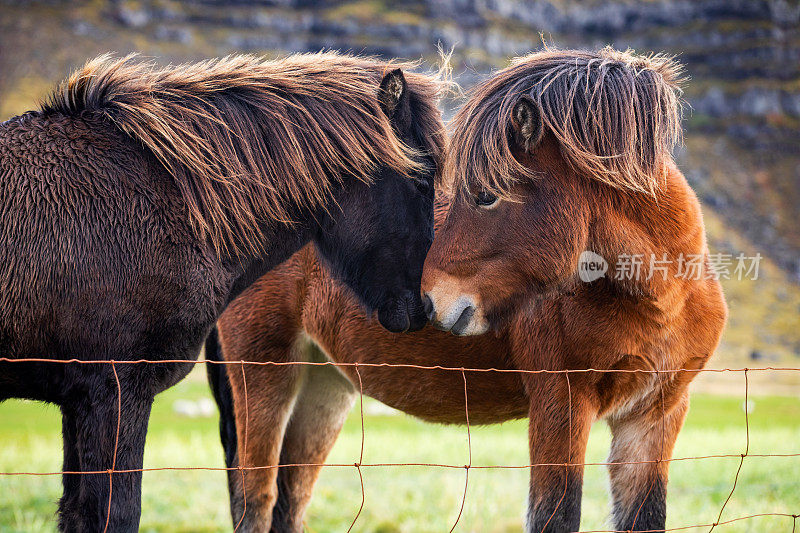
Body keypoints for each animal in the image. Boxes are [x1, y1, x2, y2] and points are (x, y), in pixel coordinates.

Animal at [0, 52, 450, 528]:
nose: (422, 307)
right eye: (422, 180)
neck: (172, 197)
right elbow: (114, 514)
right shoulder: (114, 391)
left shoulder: (78, 401)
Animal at [209, 47, 728, 528]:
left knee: (291, 498)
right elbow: (556, 517)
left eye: (486, 195)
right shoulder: (561, 408)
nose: (427, 301)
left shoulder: (655, 418)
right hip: (265, 373)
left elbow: (645, 517)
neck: (661, 302)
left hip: (325, 384)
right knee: (256, 500)